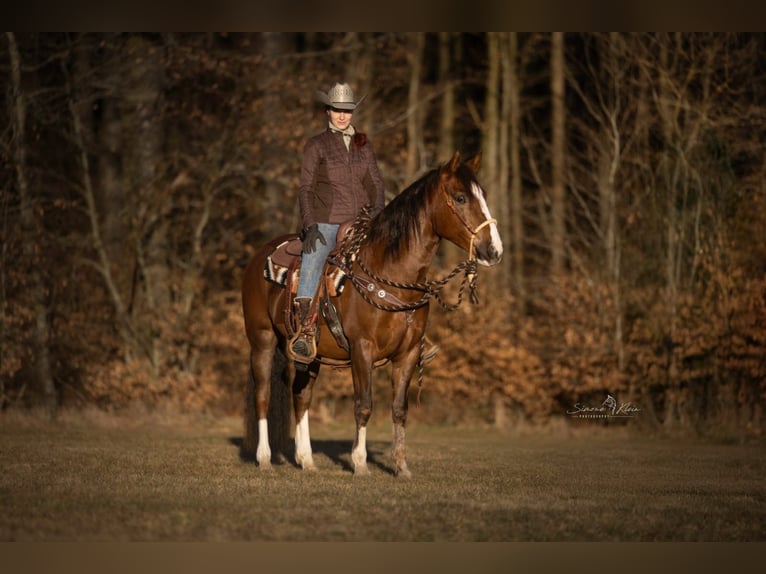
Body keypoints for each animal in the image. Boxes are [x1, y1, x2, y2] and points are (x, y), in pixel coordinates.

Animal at [242, 151, 504, 480]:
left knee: (301, 396)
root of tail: (258, 256)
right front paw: (360, 462)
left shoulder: (408, 354)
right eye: (460, 198)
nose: (494, 250)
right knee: (263, 394)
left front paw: (401, 467)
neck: (390, 273)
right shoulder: (362, 350)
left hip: (308, 355)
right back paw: (264, 457)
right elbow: (364, 404)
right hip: (261, 340)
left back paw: (306, 460)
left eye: (484, 196)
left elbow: (400, 409)